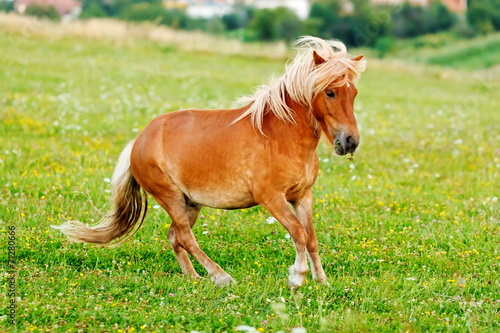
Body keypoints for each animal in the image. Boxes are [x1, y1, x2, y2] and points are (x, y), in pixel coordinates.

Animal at [54, 35, 366, 286]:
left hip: (190, 203)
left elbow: (311, 238)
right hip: (169, 197)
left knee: (175, 236)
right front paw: (297, 277)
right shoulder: (271, 198)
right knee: (184, 237)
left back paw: (193, 277)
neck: (282, 136)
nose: (350, 141)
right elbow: (299, 234)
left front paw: (321, 280)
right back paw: (221, 276)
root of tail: (139, 140)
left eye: (354, 93)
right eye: (330, 92)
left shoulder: (302, 196)